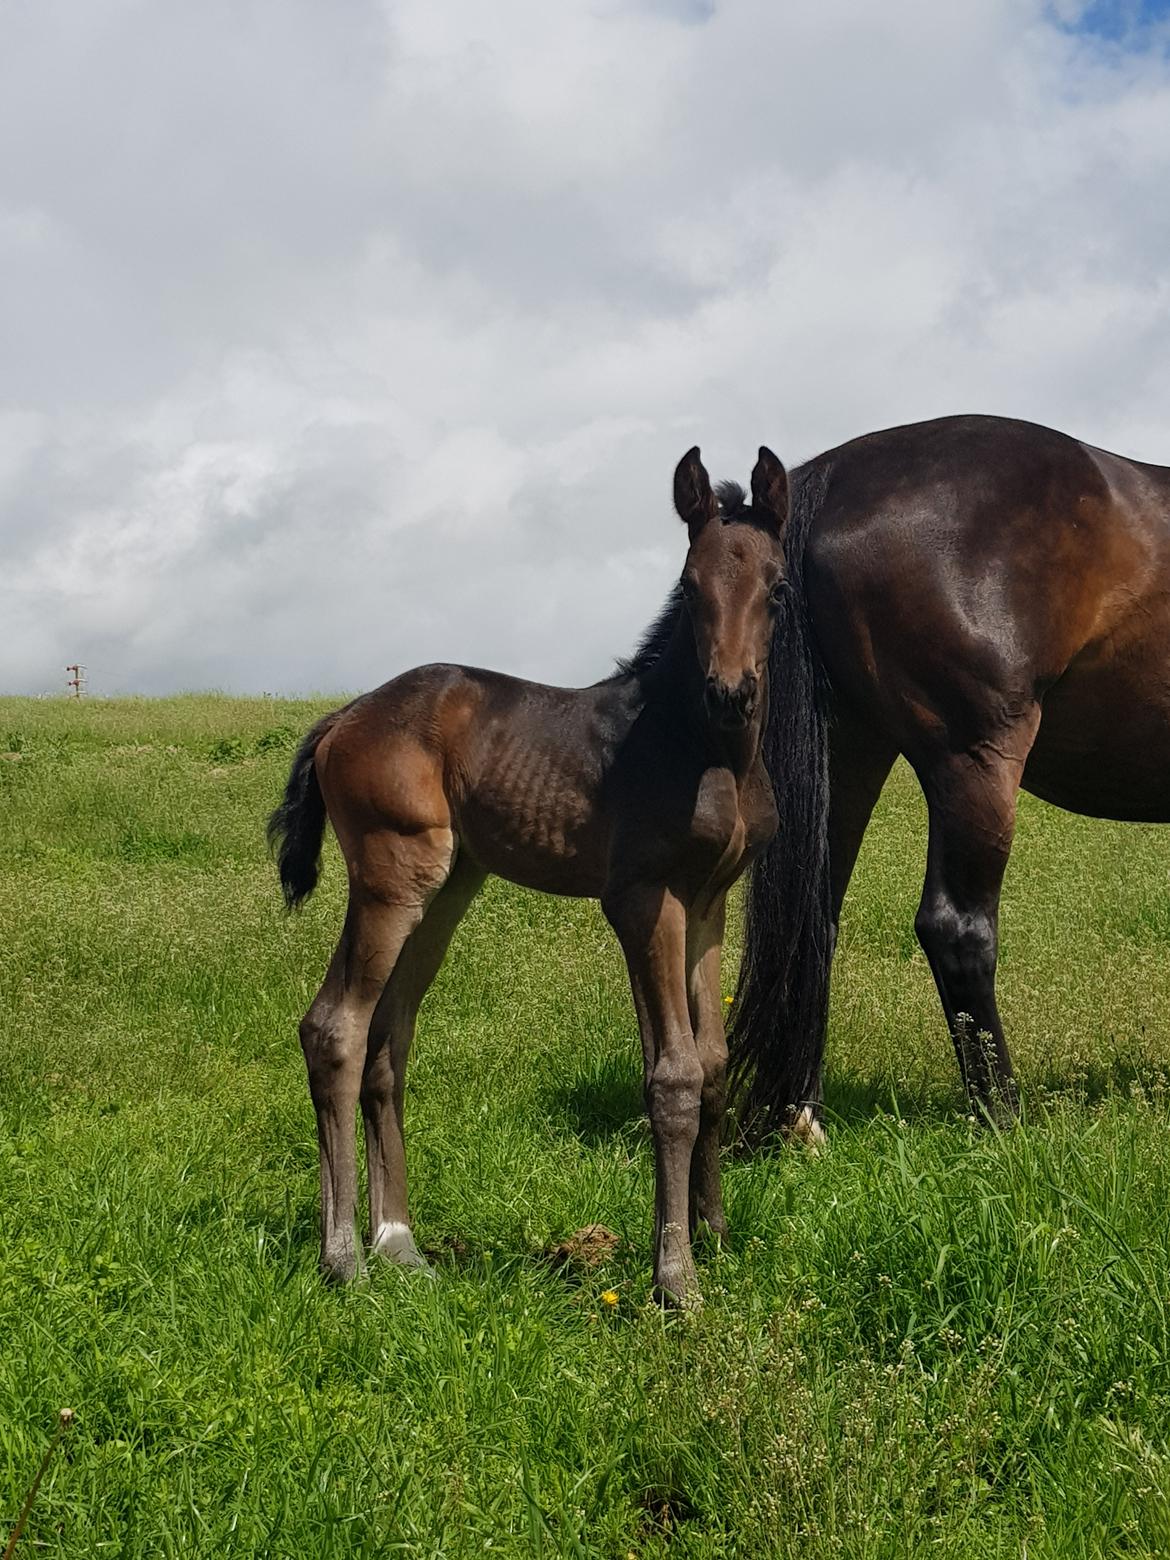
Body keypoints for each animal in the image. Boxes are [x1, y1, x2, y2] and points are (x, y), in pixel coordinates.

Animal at [269, 449, 792, 1304]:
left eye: (777, 588)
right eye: (689, 588)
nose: (730, 692)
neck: (701, 747)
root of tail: (342, 717)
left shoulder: (710, 901)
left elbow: (713, 1062)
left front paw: (713, 1231)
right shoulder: (643, 898)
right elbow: (674, 1075)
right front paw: (676, 1278)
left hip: (450, 888)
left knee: (389, 1037)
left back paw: (400, 1243)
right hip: (393, 871)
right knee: (335, 1028)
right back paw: (343, 1256)